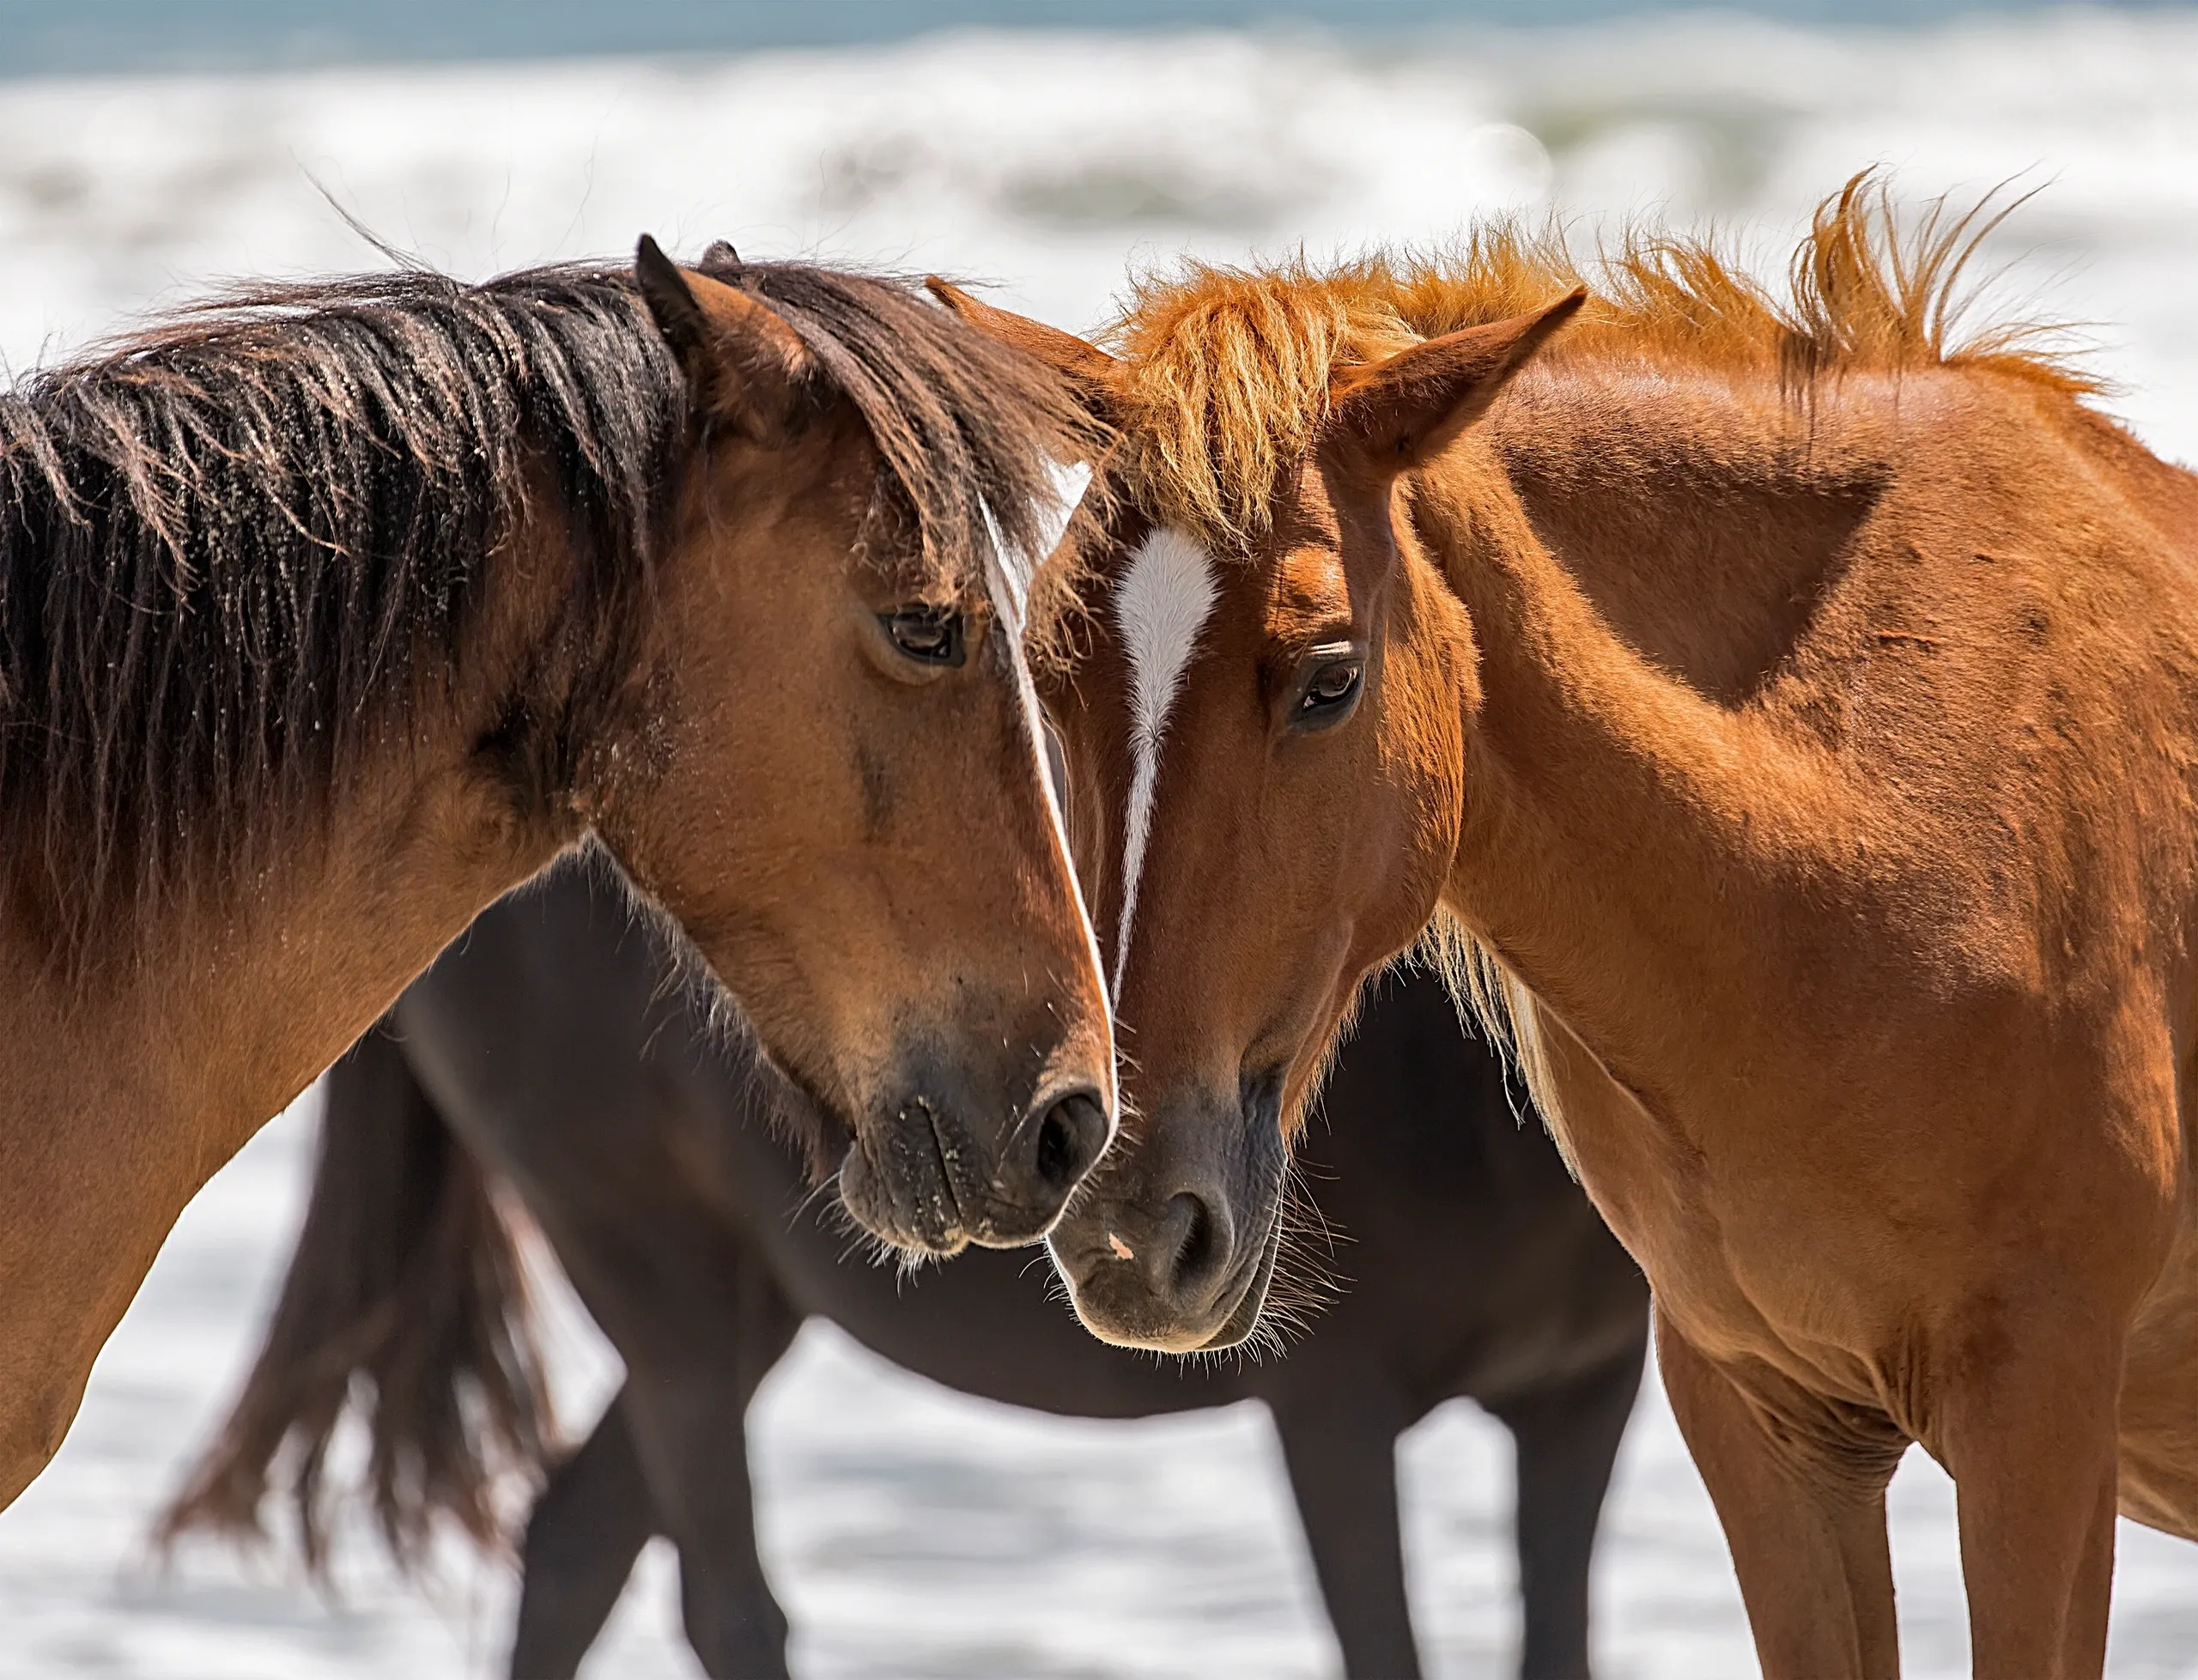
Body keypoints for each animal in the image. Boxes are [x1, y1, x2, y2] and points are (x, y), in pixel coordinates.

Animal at [158, 856, 1648, 1680]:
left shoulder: (1585, 1391)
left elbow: (1559, 1648)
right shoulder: (1332, 1398)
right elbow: (1387, 1649)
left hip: (745, 1300)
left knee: (573, 1542)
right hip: (651, 1262)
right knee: (722, 1598)